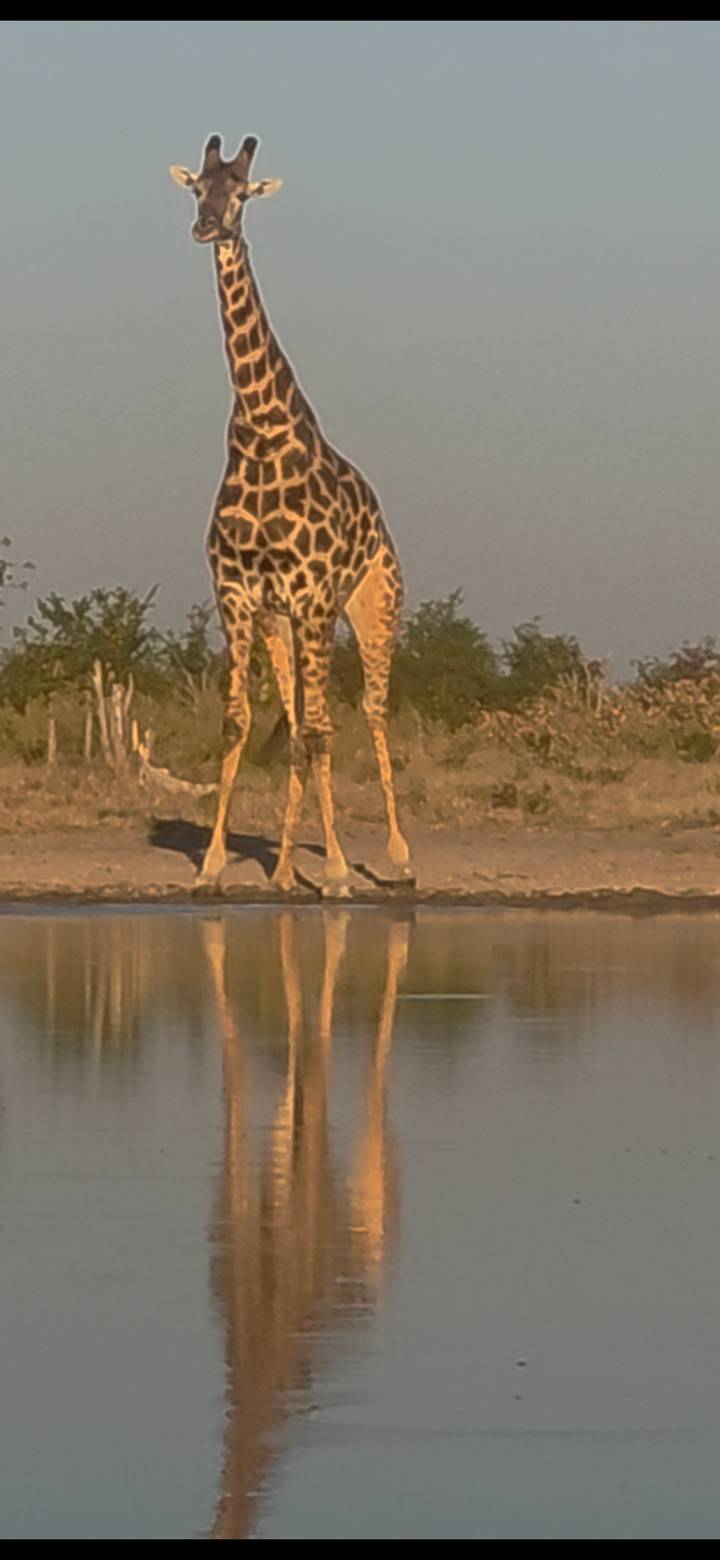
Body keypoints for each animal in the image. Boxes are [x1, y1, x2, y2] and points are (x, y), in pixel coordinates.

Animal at [169, 134, 413, 895]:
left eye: (242, 195)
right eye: (198, 190)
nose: (206, 228)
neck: (260, 434)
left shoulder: (313, 597)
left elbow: (322, 732)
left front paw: (335, 868)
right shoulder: (237, 594)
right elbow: (240, 724)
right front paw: (213, 865)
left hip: (370, 605)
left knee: (367, 713)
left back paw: (396, 857)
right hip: (283, 626)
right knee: (301, 717)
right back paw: (279, 867)